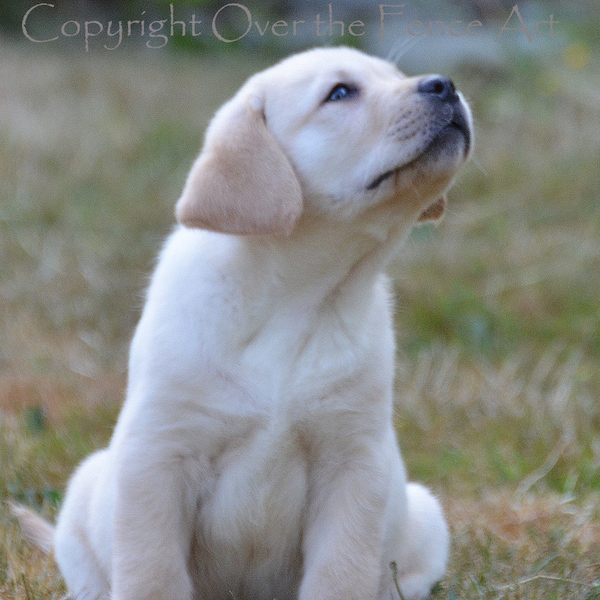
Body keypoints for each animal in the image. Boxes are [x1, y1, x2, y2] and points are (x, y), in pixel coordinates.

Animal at [15, 48, 474, 600]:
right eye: (341, 92)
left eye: (397, 75)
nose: (445, 85)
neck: (298, 298)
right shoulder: (158, 454)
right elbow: (153, 573)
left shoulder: (354, 462)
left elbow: (340, 573)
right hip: (85, 494)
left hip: (426, 516)